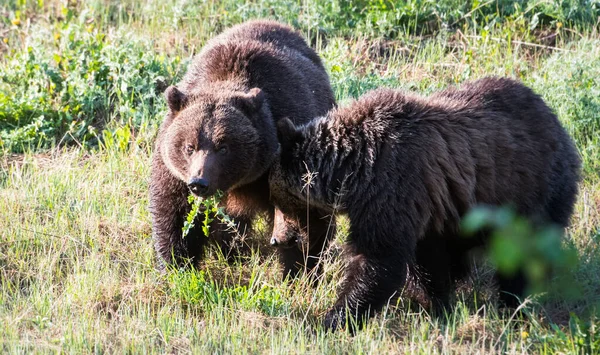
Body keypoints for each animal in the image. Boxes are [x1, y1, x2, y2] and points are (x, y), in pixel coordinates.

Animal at [149, 20, 338, 272]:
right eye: (189, 146)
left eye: (223, 147)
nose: (199, 182)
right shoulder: (175, 173)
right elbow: (174, 212)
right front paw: (176, 265)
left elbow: (305, 216)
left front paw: (299, 268)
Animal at [270, 76, 580, 332]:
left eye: (280, 201)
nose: (276, 239)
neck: (355, 169)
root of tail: (556, 119)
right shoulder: (428, 206)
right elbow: (426, 262)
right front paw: (435, 303)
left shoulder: (395, 185)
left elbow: (378, 259)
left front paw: (333, 319)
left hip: (532, 192)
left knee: (525, 252)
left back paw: (513, 303)